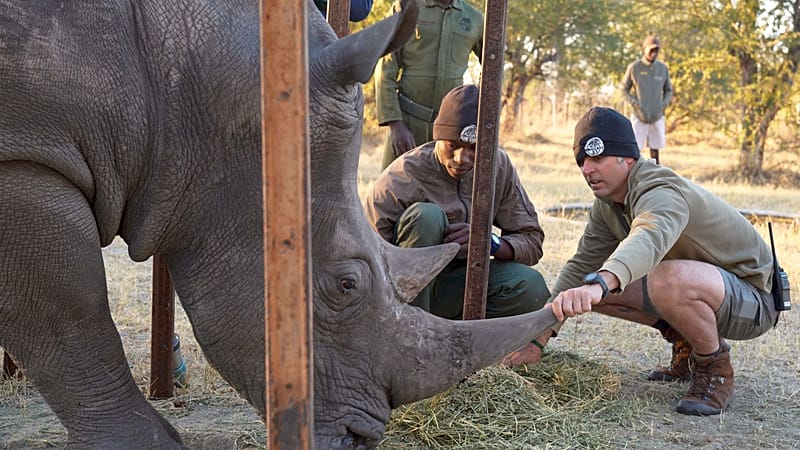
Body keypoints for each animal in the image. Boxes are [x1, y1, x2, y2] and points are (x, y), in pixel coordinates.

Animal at [0, 0, 557, 448]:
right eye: (346, 285)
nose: (360, 439)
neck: (181, 84)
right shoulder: (24, 157)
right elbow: (72, 317)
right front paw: (147, 445)